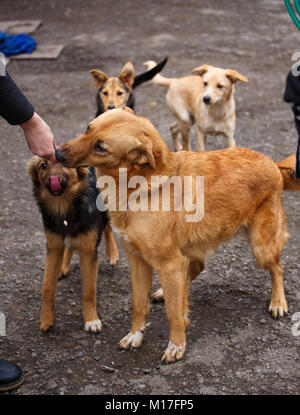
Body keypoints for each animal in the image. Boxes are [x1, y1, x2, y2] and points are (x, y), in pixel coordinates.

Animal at [26, 156, 118, 334]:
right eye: (43, 165)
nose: (52, 180)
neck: (63, 206)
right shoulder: (53, 246)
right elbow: (47, 286)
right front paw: (46, 319)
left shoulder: (89, 251)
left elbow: (89, 291)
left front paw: (91, 320)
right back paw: (63, 266)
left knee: (108, 227)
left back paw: (112, 253)